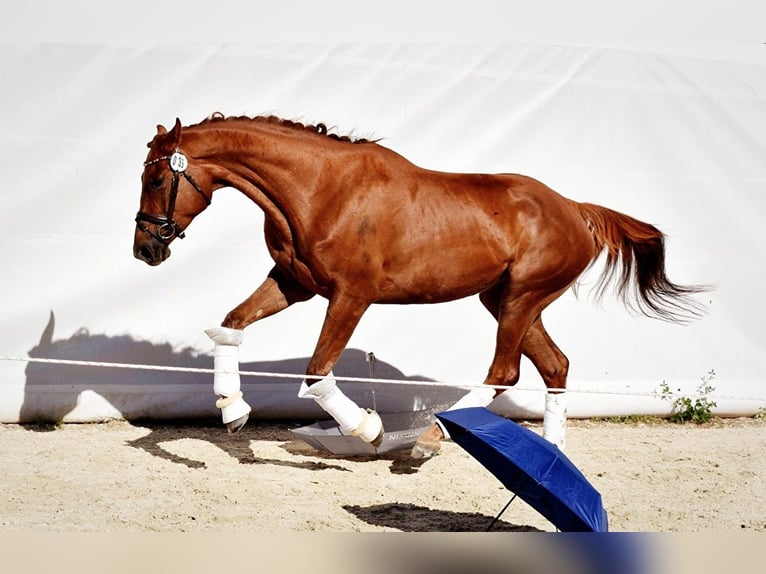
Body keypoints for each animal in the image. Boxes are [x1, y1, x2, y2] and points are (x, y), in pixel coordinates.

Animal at [135, 115, 712, 456]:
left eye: (157, 178)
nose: (145, 249)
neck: (319, 189)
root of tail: (574, 209)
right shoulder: (294, 283)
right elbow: (229, 327)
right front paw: (233, 410)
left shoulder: (352, 295)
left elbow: (318, 373)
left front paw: (368, 429)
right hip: (505, 299)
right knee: (554, 365)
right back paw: (550, 455)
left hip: (521, 297)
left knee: (505, 372)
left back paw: (430, 438)